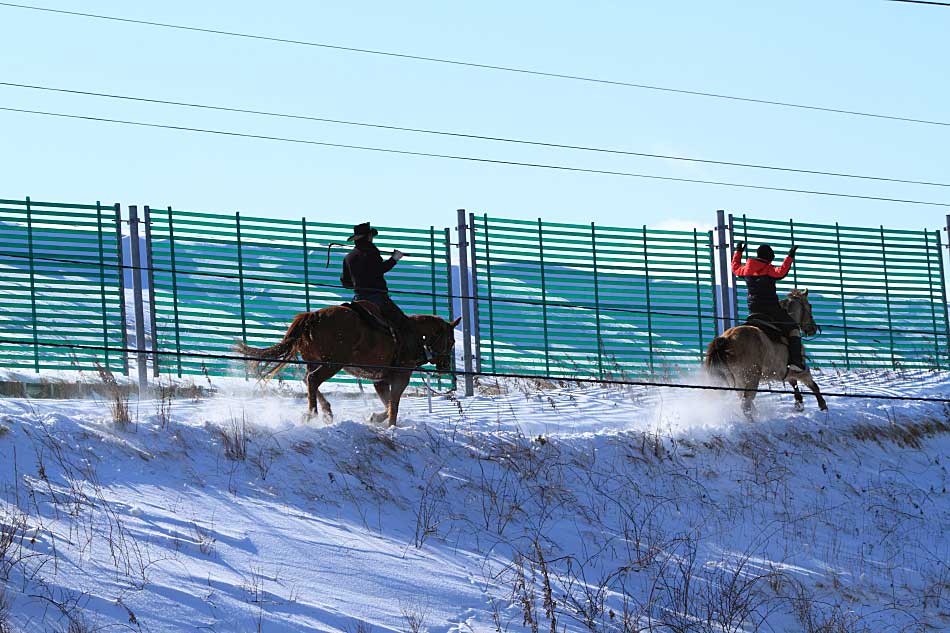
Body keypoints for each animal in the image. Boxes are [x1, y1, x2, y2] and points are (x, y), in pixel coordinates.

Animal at [237, 304, 462, 428]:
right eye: (451, 341)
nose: (444, 366)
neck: (413, 335)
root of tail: (312, 317)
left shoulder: (380, 380)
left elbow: (387, 403)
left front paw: (375, 418)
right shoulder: (400, 377)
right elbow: (394, 405)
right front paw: (390, 426)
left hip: (315, 361)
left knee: (309, 381)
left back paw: (326, 411)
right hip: (332, 363)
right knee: (313, 379)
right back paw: (312, 413)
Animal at [704, 288, 828, 418]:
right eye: (810, 305)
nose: (813, 328)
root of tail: (726, 339)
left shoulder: (785, 372)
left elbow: (794, 384)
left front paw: (799, 404)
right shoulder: (801, 370)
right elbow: (813, 385)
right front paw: (823, 406)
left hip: (739, 382)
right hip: (751, 379)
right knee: (746, 405)